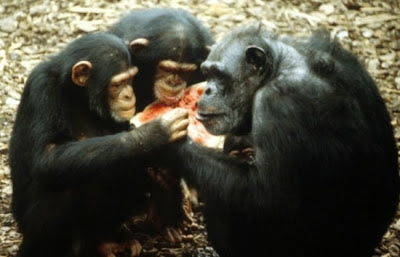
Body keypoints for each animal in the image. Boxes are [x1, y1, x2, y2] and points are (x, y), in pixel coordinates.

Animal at [9, 32, 189, 256]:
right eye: (117, 84)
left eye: (131, 79)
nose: (129, 94)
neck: (79, 95)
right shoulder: (41, 89)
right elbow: (47, 153)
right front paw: (156, 132)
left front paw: (166, 184)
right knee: (62, 187)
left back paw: (110, 240)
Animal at [173, 24, 400, 256]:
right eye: (207, 74)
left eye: (219, 75)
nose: (207, 89)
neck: (279, 66)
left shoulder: (277, 102)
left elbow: (266, 197)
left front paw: (165, 140)